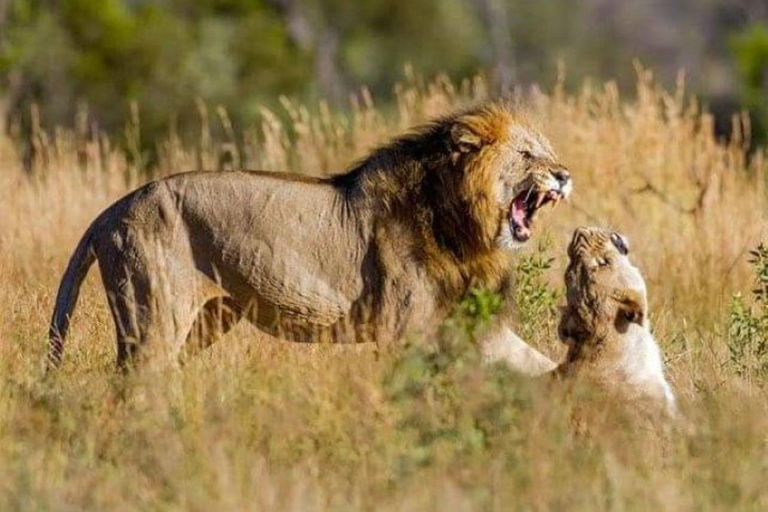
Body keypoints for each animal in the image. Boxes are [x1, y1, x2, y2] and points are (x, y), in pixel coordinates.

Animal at [49, 104, 568, 368]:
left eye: (547, 152)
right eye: (526, 155)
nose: (564, 175)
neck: (462, 225)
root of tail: (111, 212)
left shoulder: (472, 321)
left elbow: (535, 362)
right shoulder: (405, 329)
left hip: (209, 317)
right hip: (154, 315)